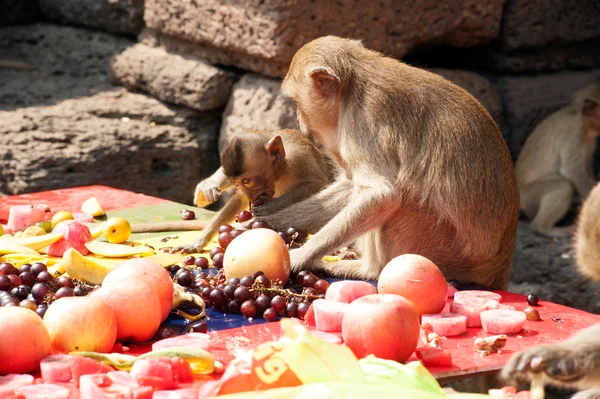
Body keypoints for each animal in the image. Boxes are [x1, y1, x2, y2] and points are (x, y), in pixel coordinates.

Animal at [128, 128, 330, 255]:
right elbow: (236, 198)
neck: (279, 172)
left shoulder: (298, 160)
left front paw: (269, 207)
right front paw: (208, 186)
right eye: (237, 183)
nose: (251, 195)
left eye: (247, 180)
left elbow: (318, 185)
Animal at [244, 35, 520, 290]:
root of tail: (497, 271)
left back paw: (368, 270)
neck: (354, 82)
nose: (301, 121)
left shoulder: (362, 119)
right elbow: (352, 186)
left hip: (442, 249)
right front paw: (267, 220)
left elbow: (381, 195)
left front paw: (299, 257)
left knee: (402, 199)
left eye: (298, 103)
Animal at [516, 81, 600, 238]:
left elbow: (586, 166)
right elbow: (571, 170)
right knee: (563, 185)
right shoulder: (573, 131)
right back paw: (544, 228)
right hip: (530, 198)